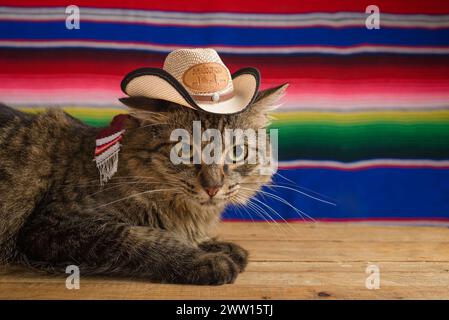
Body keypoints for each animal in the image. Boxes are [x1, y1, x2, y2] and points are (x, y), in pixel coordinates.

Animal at [0, 83, 288, 284]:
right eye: (185, 150)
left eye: (238, 151)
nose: (212, 187)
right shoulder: (53, 225)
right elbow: (142, 237)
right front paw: (205, 259)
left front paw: (217, 245)